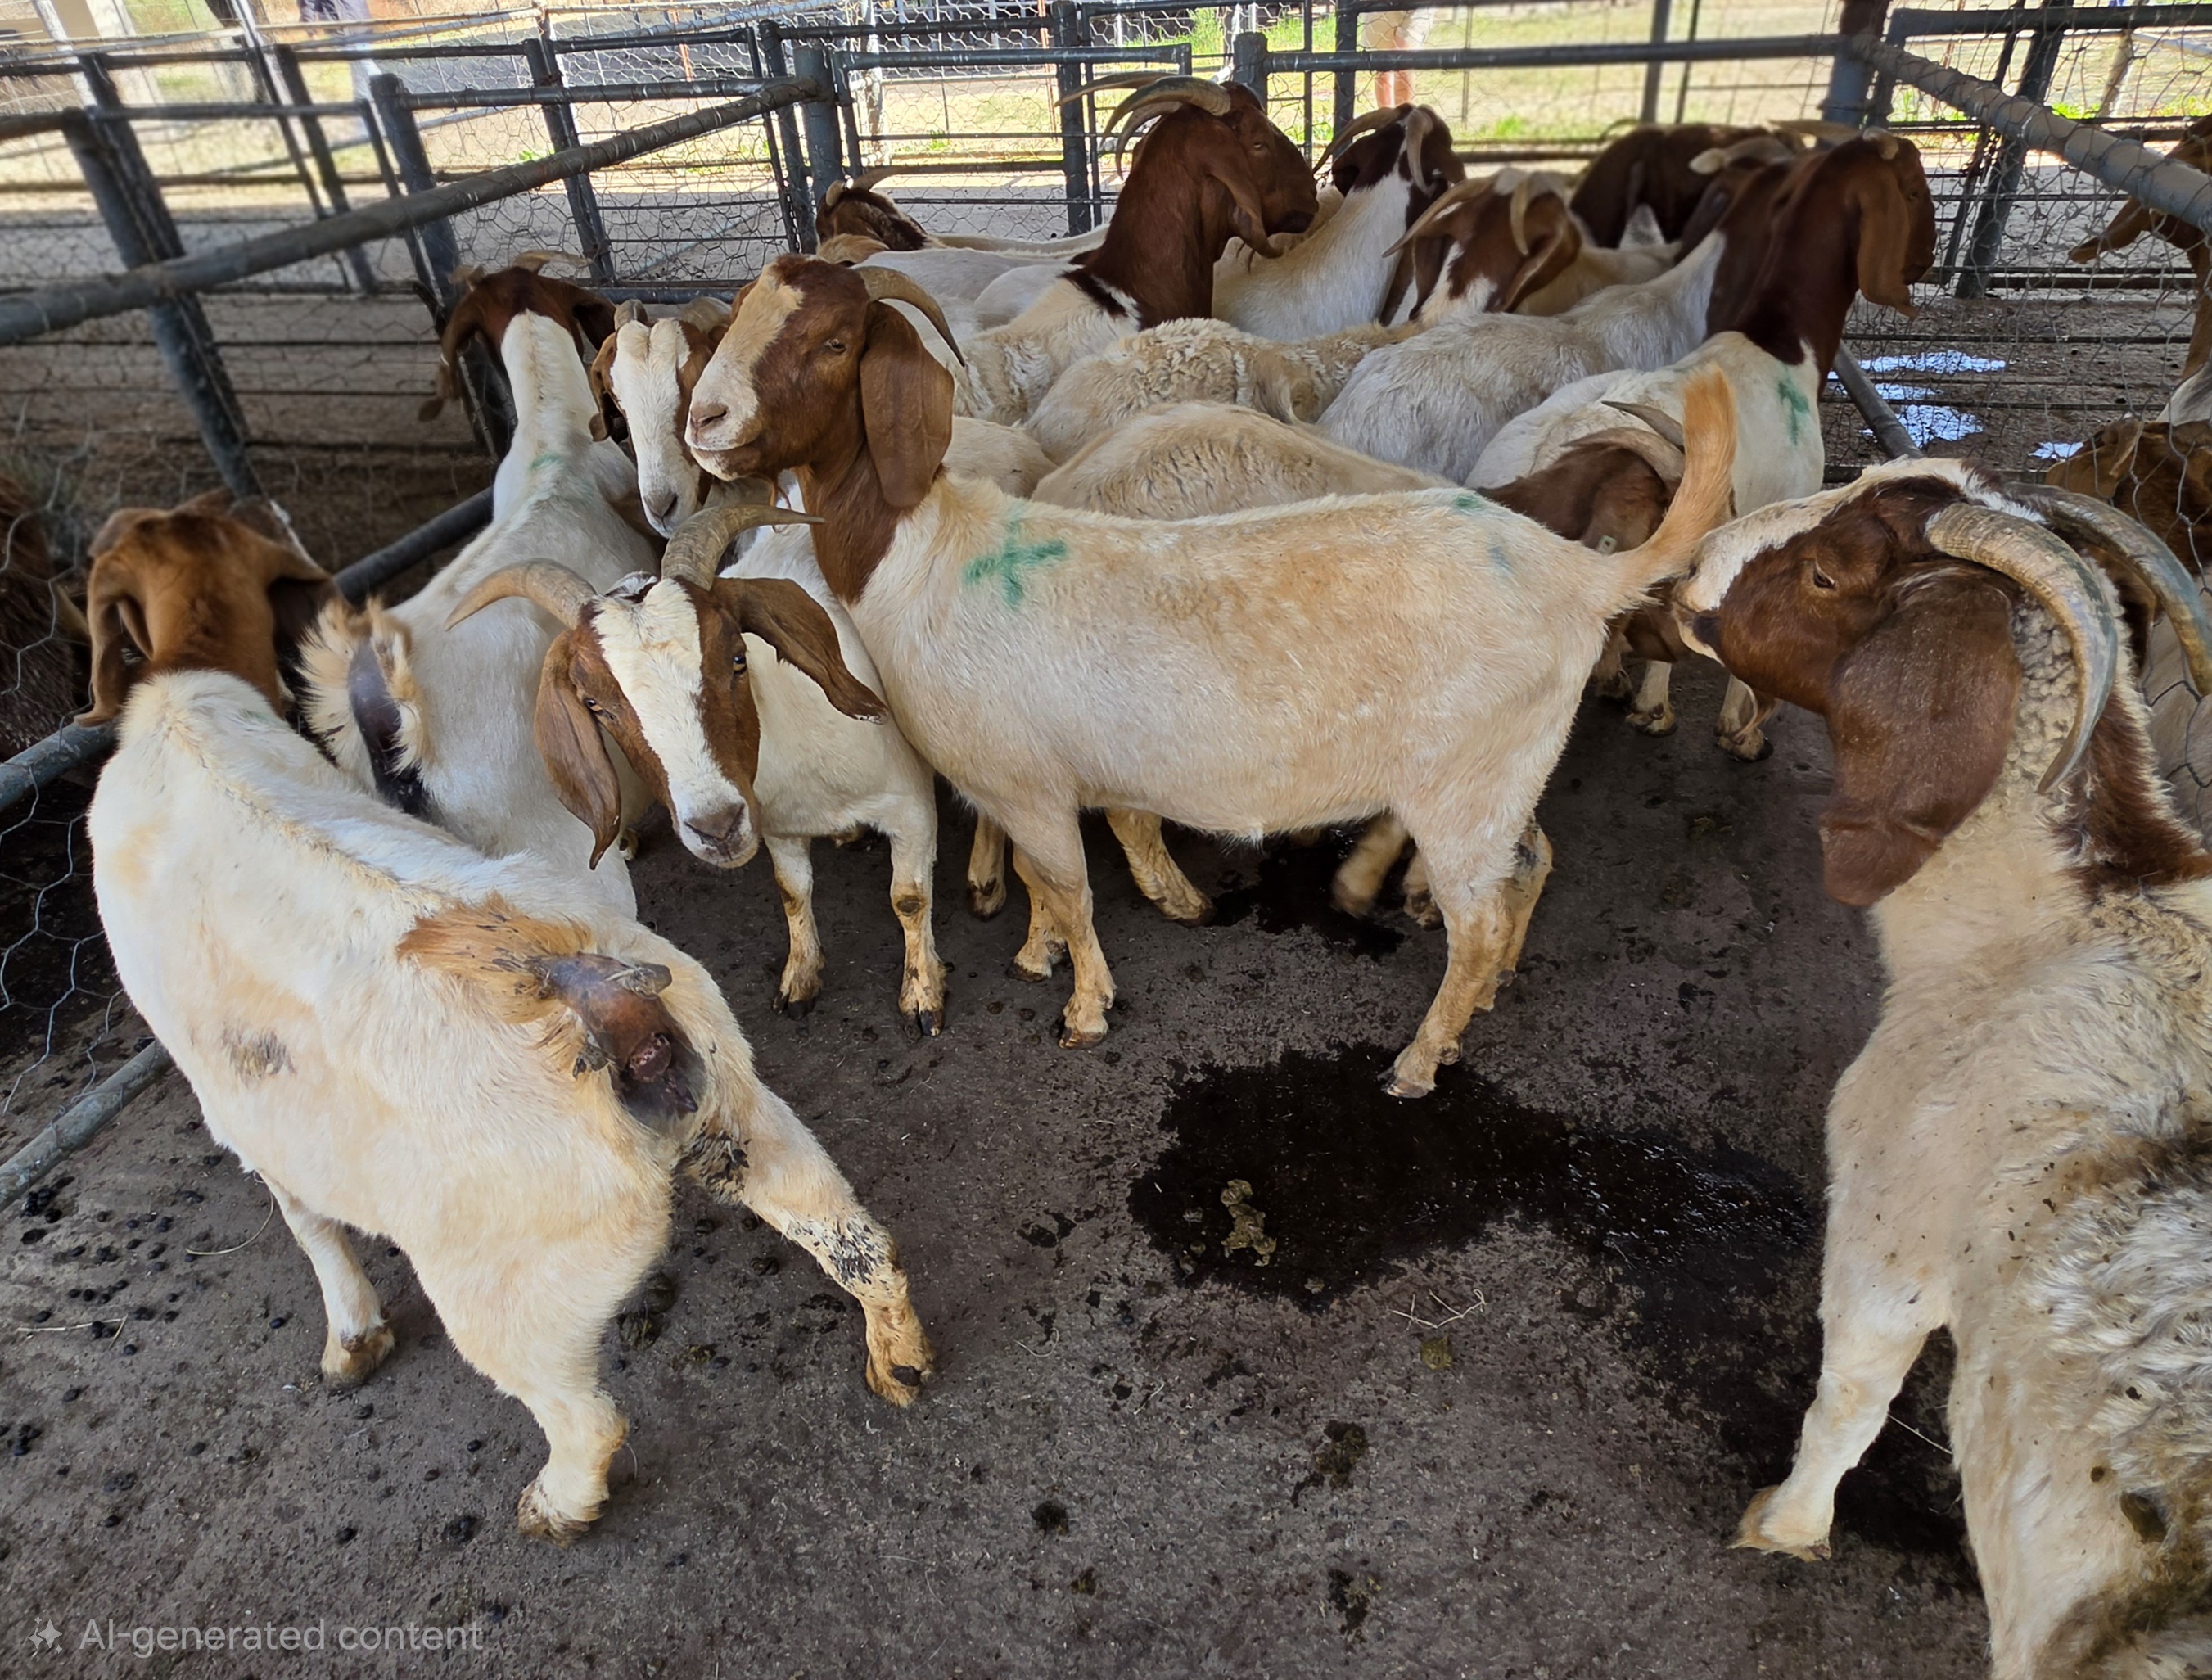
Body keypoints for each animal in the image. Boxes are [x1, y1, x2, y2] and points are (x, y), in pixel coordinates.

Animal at [450, 503, 957, 1035]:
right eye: (595, 705)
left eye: (737, 657)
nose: (716, 828)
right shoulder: (778, 828)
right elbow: (793, 892)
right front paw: (800, 977)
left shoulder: (911, 807)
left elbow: (908, 898)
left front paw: (922, 995)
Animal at [683, 254, 1740, 1096]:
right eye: (737, 314)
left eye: (830, 342)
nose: (703, 419)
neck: (925, 556)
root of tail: (1577, 574)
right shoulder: (1019, 784)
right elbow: (1037, 880)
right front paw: (1034, 955)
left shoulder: (1027, 783)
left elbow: (1068, 885)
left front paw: (1083, 1008)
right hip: (1502, 778)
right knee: (1526, 868)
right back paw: (1474, 1010)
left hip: (1462, 786)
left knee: (1477, 917)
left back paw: (1414, 1062)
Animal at [1673, 456, 2212, 1677]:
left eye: (1827, 575)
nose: (1686, 577)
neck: (2046, 925)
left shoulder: (1893, 1209)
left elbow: (1851, 1390)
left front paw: (1784, 1526)